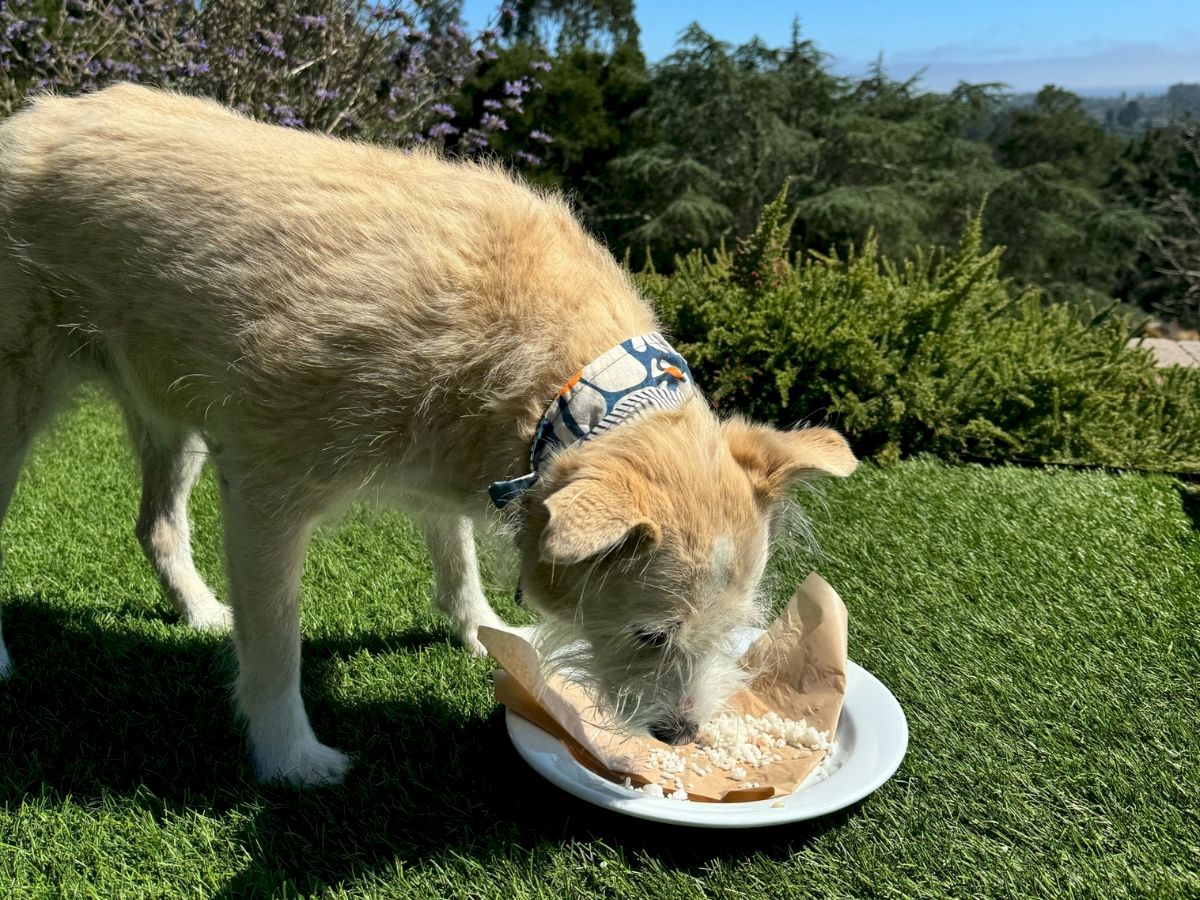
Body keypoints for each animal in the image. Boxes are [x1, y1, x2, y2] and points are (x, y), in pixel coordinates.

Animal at [0, 84, 854, 787]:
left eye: (734, 632)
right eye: (649, 635)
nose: (679, 735)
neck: (567, 388)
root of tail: (27, 117)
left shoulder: (450, 457)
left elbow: (458, 556)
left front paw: (486, 631)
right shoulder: (266, 494)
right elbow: (276, 642)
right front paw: (291, 758)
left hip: (169, 405)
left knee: (155, 525)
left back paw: (200, 611)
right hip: (20, 401)